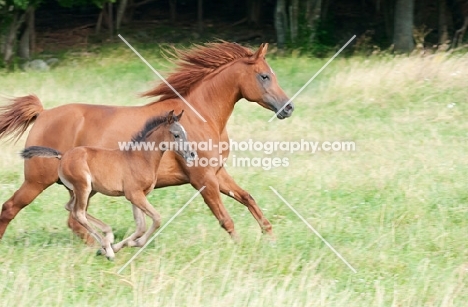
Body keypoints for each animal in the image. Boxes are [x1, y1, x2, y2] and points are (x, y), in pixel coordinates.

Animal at [0, 42, 292, 244]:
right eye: (264, 76)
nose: (288, 107)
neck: (201, 117)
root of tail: (44, 113)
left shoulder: (217, 173)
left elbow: (247, 198)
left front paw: (270, 238)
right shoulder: (202, 178)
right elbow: (225, 218)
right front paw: (240, 248)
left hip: (83, 189)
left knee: (74, 220)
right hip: (37, 181)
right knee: (11, 208)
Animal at [20, 110, 195, 260]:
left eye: (186, 133)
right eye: (176, 134)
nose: (192, 154)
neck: (141, 158)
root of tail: (62, 156)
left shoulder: (138, 196)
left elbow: (141, 226)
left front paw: (123, 245)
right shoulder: (134, 195)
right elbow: (156, 219)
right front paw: (130, 244)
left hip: (89, 190)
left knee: (71, 207)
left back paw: (108, 238)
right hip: (83, 186)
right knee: (79, 213)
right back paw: (107, 248)